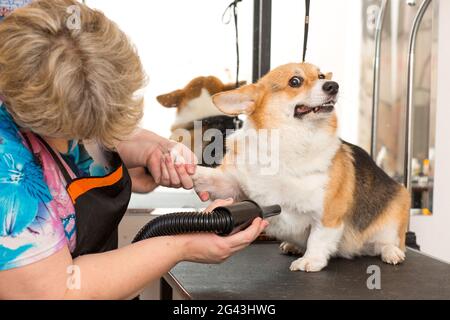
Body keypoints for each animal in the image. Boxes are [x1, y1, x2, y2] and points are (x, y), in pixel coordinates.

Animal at [192, 62, 410, 272]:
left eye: (321, 76)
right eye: (295, 81)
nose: (333, 85)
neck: (288, 141)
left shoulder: (327, 214)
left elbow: (318, 238)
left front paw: (310, 260)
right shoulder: (233, 186)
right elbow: (207, 177)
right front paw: (184, 166)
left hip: (397, 209)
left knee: (387, 243)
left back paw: (392, 253)